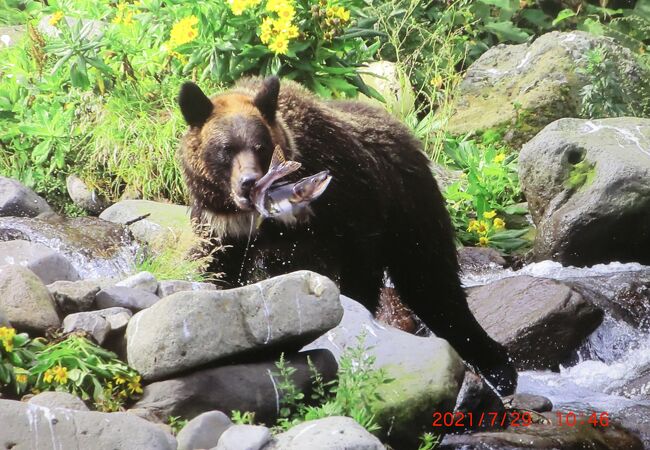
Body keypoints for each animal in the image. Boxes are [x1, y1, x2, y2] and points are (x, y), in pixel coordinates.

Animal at [177, 75, 516, 396]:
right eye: (226, 149)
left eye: (259, 146)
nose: (249, 182)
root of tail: (402, 129)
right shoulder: (221, 232)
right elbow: (218, 273)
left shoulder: (344, 212)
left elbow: (357, 272)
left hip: (409, 209)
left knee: (432, 282)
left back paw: (499, 368)